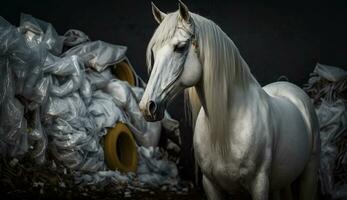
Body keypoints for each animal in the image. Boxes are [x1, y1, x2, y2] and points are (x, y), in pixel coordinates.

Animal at [139, 1, 320, 200]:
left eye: (180, 47)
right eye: (154, 51)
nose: (147, 106)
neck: (228, 124)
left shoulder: (259, 185)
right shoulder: (211, 185)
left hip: (309, 174)